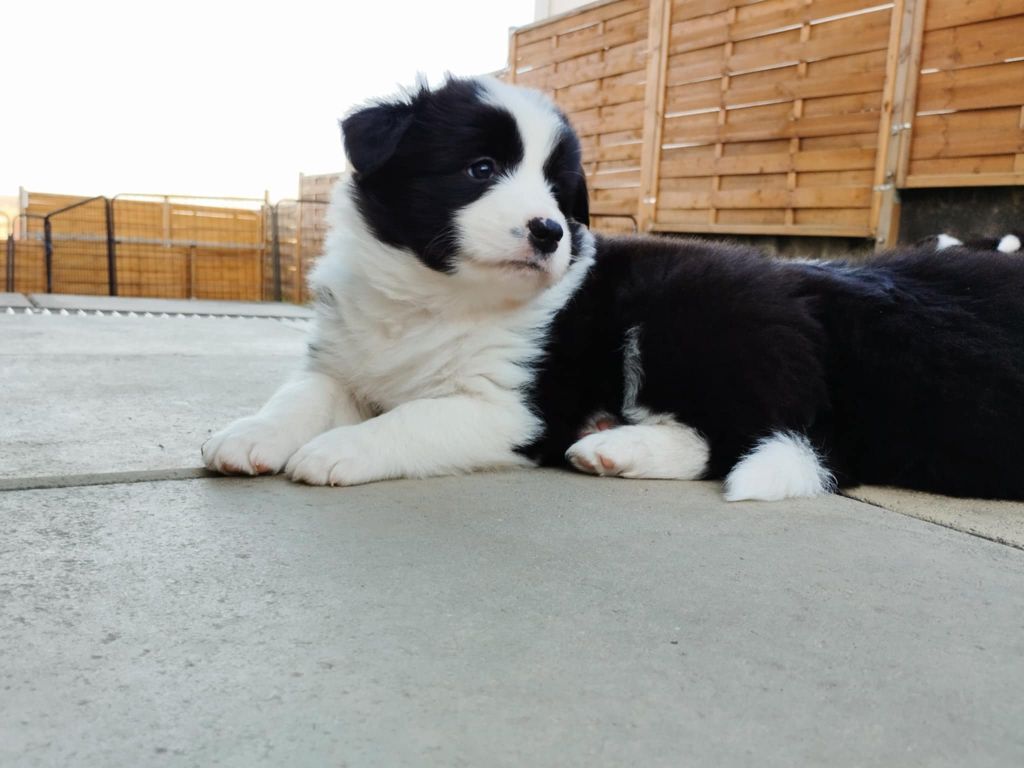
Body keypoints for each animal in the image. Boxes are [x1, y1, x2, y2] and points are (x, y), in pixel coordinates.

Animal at [203, 75, 1024, 501]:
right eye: (479, 169)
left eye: (559, 192)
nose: (548, 231)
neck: (438, 299)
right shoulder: (343, 362)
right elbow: (297, 398)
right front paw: (246, 437)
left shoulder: (510, 407)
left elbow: (412, 420)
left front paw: (337, 451)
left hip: (689, 318)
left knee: (726, 439)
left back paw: (617, 450)